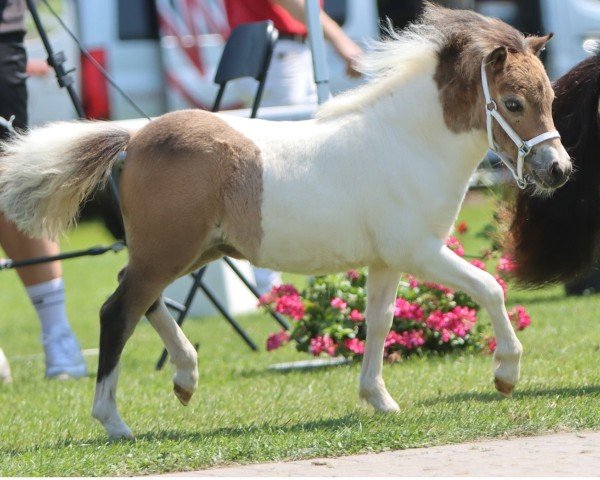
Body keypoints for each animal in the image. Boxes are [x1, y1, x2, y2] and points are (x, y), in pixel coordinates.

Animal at [0, 3, 572, 438]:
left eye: (550, 97)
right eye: (512, 102)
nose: (559, 170)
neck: (407, 142)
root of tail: (136, 135)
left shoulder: (387, 261)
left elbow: (379, 320)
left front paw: (379, 399)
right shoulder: (421, 251)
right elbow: (490, 287)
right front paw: (505, 375)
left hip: (187, 252)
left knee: (142, 299)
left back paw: (185, 378)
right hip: (169, 251)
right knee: (118, 311)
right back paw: (115, 421)